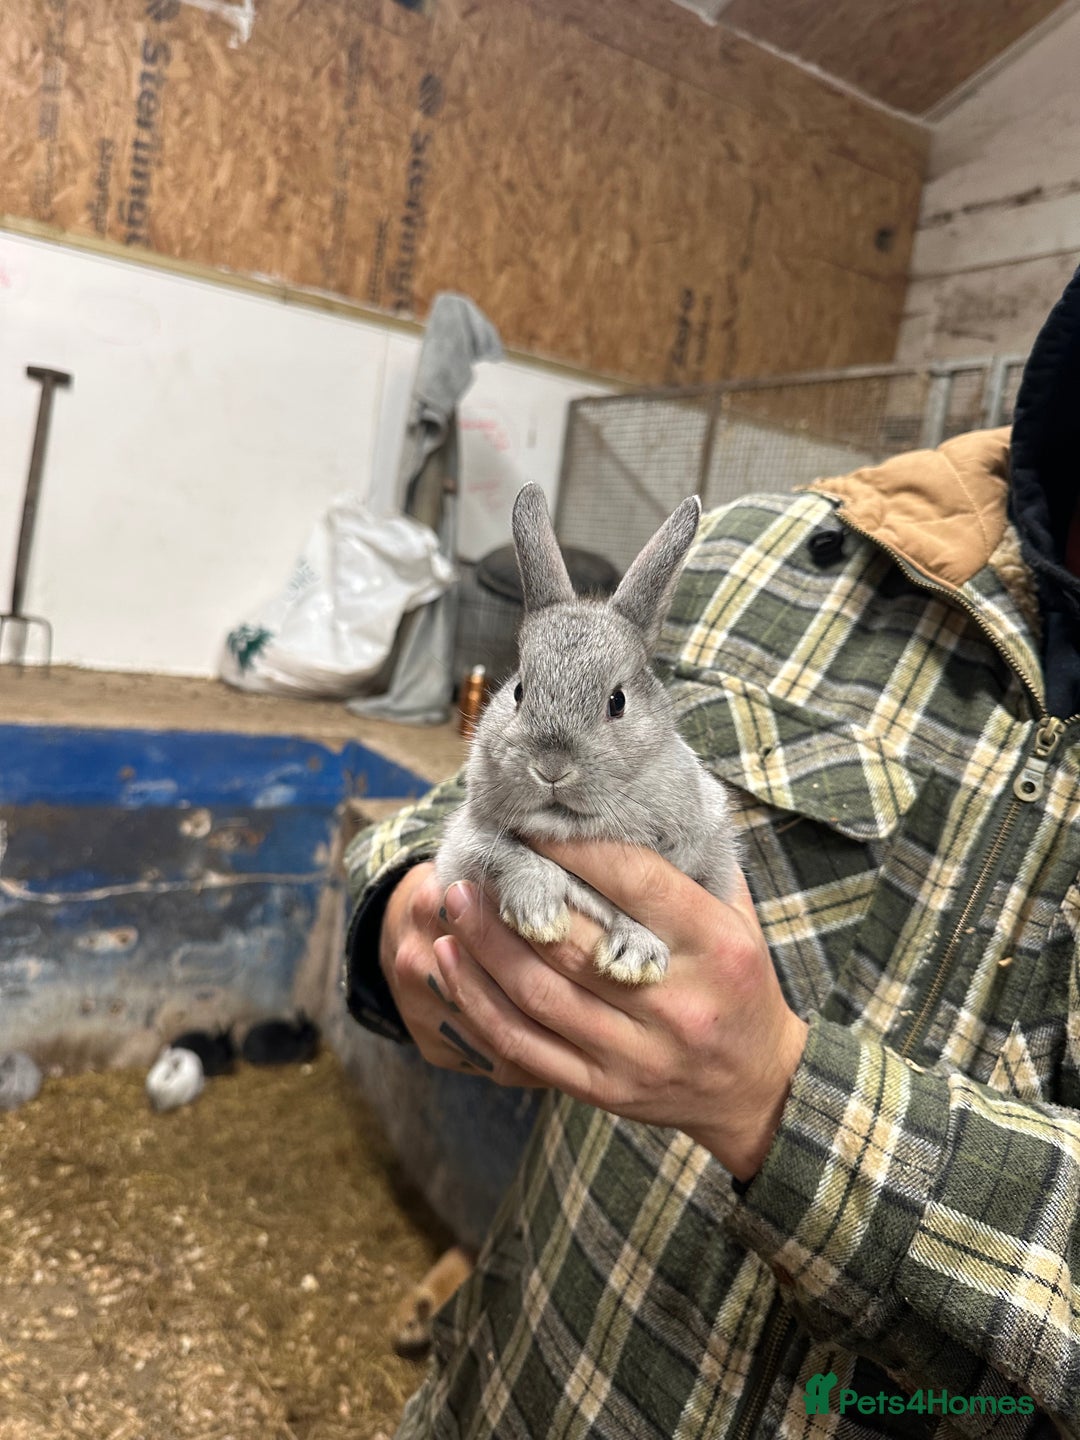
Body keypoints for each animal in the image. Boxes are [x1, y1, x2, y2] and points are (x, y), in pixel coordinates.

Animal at [436, 482, 738, 986]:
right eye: (519, 690)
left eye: (617, 701)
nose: (551, 768)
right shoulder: (469, 837)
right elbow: (510, 855)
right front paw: (539, 916)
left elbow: (648, 915)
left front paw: (634, 960)